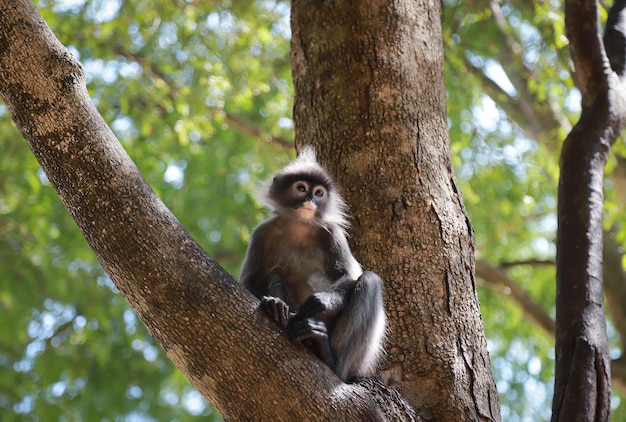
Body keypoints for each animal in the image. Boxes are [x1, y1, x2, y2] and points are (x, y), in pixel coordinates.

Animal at [239, 147, 386, 380]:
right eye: (301, 188)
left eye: (319, 193)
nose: (310, 200)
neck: (299, 227)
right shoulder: (262, 233)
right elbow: (248, 281)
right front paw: (273, 303)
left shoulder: (332, 233)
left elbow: (349, 276)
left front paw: (321, 301)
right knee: (275, 275)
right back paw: (281, 310)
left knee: (370, 281)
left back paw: (328, 355)